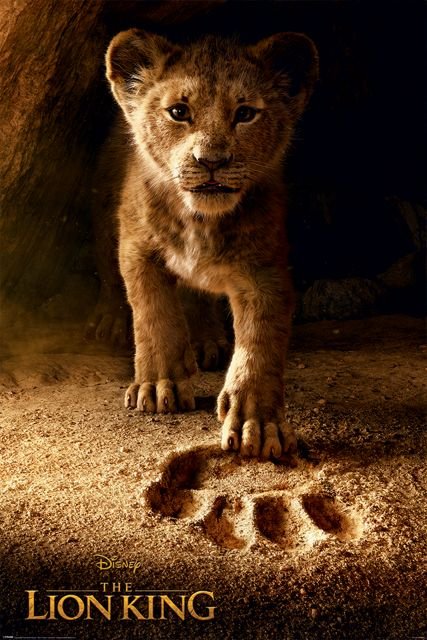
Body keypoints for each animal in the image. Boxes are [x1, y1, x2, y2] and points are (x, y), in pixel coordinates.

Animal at [101, 29, 318, 459]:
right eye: (178, 112)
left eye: (246, 113)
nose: (211, 161)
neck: (200, 220)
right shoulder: (136, 248)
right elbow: (154, 315)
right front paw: (159, 385)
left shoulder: (264, 269)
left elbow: (260, 343)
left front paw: (258, 423)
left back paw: (206, 342)